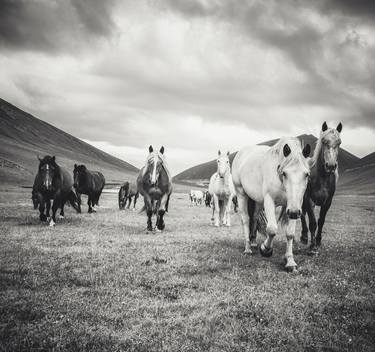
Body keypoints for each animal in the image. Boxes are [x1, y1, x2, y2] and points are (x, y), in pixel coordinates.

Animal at [232, 138, 312, 272]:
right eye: (284, 173)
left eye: (306, 174)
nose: (294, 212)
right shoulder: (270, 201)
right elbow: (272, 229)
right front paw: (266, 249)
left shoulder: (294, 206)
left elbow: (290, 233)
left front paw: (290, 261)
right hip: (241, 193)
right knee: (246, 220)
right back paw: (248, 248)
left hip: (258, 200)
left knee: (254, 218)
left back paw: (253, 242)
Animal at [302, 121, 344, 253]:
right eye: (324, 141)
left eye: (339, 142)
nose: (330, 166)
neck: (322, 177)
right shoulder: (309, 199)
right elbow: (312, 222)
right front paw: (312, 246)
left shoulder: (327, 201)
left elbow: (321, 221)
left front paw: (318, 241)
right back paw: (304, 237)